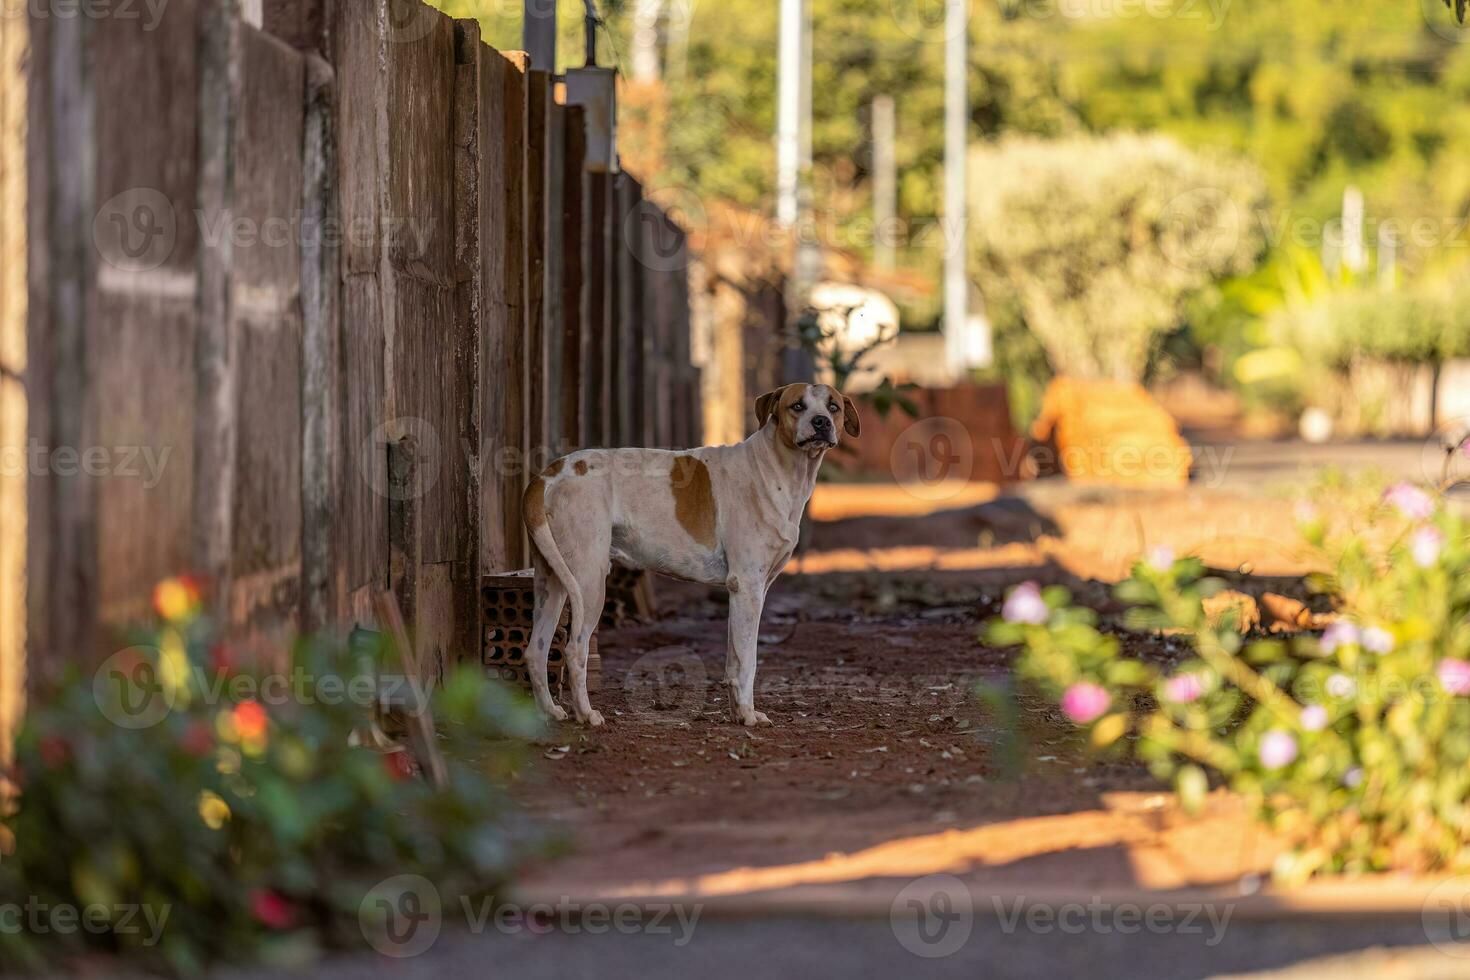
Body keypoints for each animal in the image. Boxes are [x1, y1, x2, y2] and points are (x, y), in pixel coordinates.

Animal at [520, 382, 858, 728]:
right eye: (797, 406)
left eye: (833, 406)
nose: (821, 422)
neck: (775, 469)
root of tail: (549, 475)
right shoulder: (748, 588)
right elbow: (748, 660)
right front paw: (749, 715)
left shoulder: (747, 593)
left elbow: (734, 659)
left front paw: (738, 713)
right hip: (588, 582)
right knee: (575, 649)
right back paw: (586, 714)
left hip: (552, 582)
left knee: (536, 650)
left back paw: (549, 712)